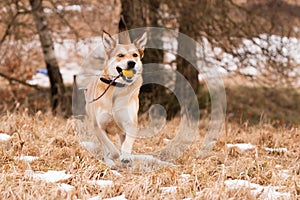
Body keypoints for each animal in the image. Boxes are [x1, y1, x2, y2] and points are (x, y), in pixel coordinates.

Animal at [84, 29, 148, 166]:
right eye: (120, 55)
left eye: (135, 55)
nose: (132, 63)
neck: (116, 88)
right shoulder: (99, 127)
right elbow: (110, 147)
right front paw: (113, 157)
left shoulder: (130, 124)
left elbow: (127, 143)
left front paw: (126, 156)